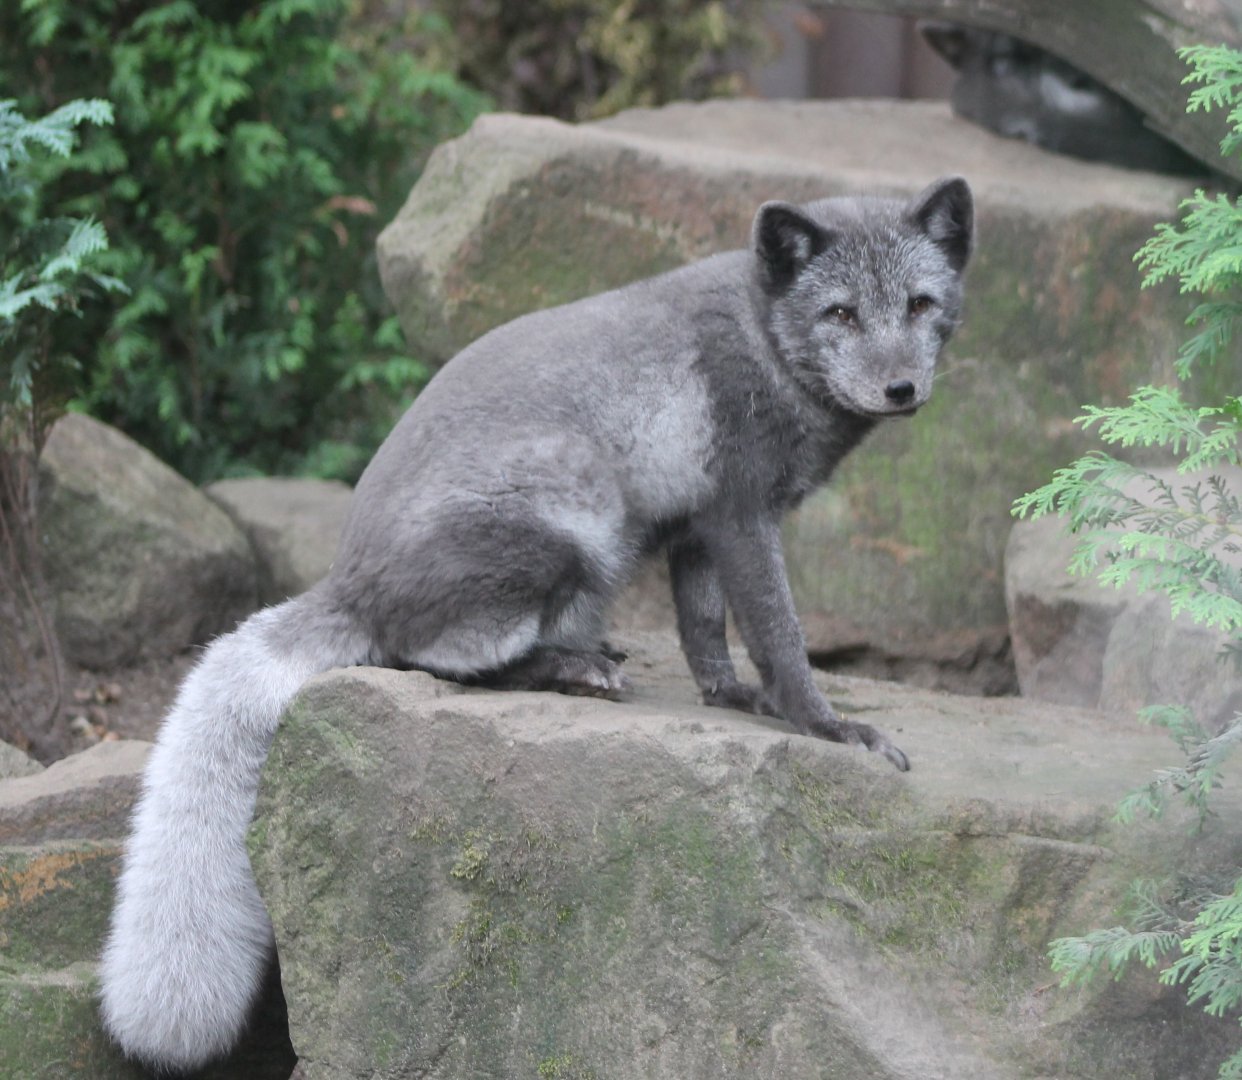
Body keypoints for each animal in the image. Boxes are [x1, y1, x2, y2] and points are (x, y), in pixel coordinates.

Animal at [99, 176, 973, 1071]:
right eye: (840, 313)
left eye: (920, 302)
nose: (902, 390)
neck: (765, 336)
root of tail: (350, 582)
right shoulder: (741, 515)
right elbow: (778, 636)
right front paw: (825, 726)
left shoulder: (697, 528)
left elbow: (705, 634)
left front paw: (732, 700)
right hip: (579, 526)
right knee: (426, 660)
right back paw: (571, 668)